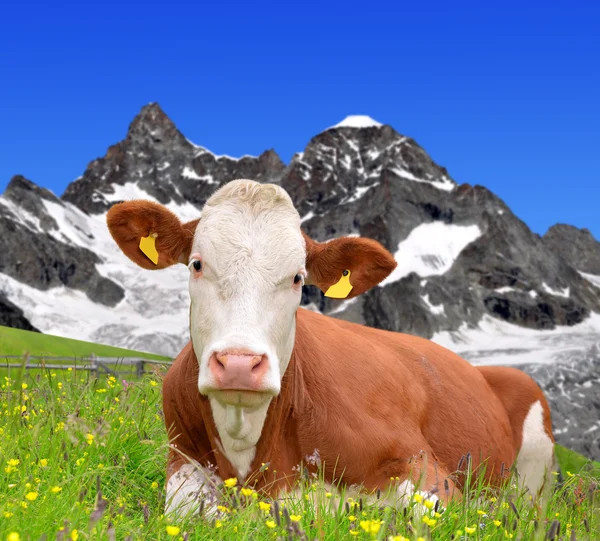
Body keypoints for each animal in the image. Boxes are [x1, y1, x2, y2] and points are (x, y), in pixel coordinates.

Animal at [105, 177, 556, 516]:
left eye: (297, 278)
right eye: (197, 264)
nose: (238, 364)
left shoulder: (421, 464)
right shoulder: (181, 454)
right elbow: (189, 510)